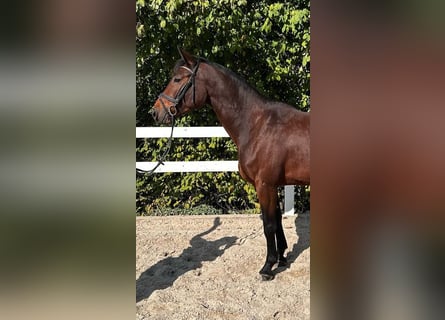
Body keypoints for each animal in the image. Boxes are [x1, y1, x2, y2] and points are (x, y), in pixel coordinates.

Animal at [149, 47, 308, 280]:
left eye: (177, 79)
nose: (155, 111)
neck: (258, 125)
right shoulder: (273, 185)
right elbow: (277, 222)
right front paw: (281, 258)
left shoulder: (264, 185)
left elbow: (269, 225)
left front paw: (267, 267)